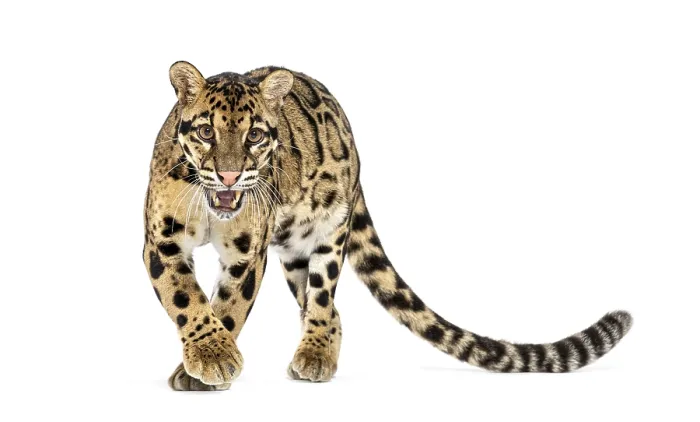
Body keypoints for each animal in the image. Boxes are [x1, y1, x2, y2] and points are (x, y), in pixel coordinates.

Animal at [143, 61, 633, 390]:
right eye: (206, 132)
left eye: (255, 136)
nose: (228, 176)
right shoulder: (161, 240)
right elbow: (189, 299)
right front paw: (210, 357)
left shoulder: (248, 253)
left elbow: (228, 307)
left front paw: (209, 363)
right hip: (294, 251)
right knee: (330, 311)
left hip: (325, 235)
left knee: (324, 302)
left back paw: (315, 355)